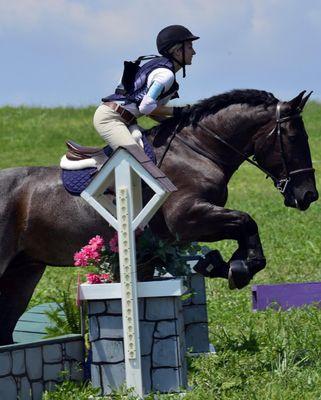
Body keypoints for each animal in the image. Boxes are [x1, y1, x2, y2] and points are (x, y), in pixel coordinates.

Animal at [0, 90, 316, 344]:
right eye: (294, 137)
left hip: (25, 270)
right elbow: (245, 221)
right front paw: (240, 267)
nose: (309, 195)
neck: (197, 151)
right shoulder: (187, 218)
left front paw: (224, 264)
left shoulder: (158, 245)